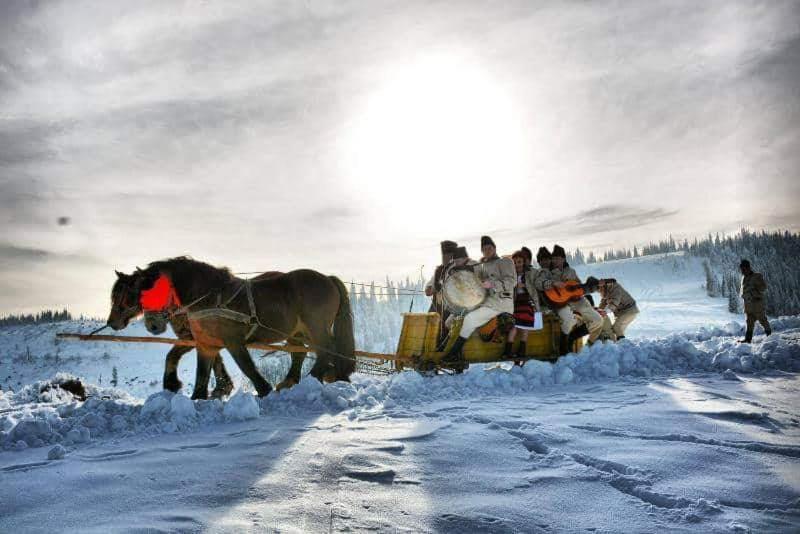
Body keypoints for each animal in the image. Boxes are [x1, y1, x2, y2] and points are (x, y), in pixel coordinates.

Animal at [108, 258, 354, 400]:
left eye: (128, 294)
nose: (153, 325)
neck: (209, 297)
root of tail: (328, 278)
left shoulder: (233, 341)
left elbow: (246, 367)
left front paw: (262, 390)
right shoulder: (205, 344)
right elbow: (201, 373)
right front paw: (200, 396)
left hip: (316, 327)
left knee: (325, 349)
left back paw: (313, 379)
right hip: (296, 331)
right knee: (301, 353)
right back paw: (292, 382)